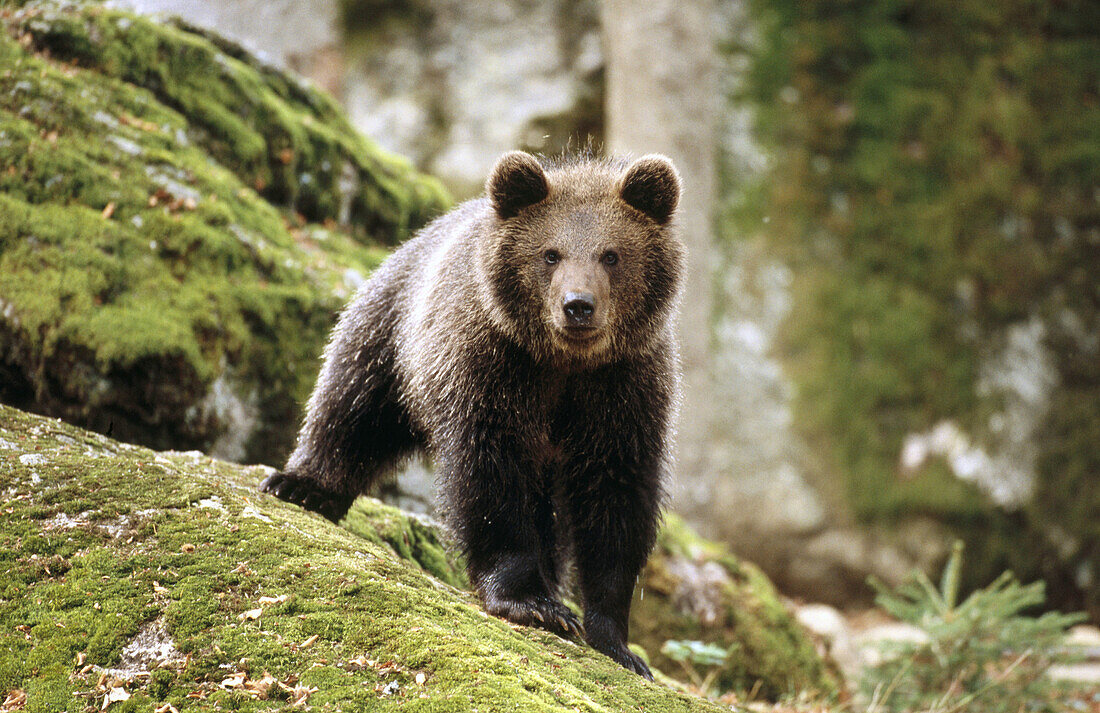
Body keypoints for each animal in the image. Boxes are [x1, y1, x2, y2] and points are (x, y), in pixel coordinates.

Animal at [261, 150, 682, 677]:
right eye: (550, 253)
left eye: (611, 254)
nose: (578, 306)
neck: (563, 363)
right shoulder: (489, 367)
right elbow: (491, 476)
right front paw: (531, 602)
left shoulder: (622, 391)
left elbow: (615, 499)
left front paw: (616, 641)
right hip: (393, 330)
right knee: (352, 403)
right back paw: (302, 484)